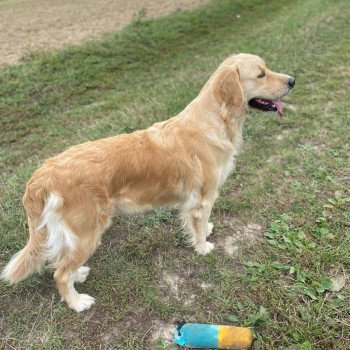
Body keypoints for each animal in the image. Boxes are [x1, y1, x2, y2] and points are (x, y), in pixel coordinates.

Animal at [1, 54, 294, 312]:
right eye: (261, 74)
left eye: (266, 68)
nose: (292, 80)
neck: (214, 120)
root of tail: (41, 175)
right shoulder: (203, 198)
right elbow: (199, 228)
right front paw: (203, 247)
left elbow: (198, 225)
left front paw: (206, 232)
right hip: (88, 231)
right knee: (60, 273)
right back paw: (77, 302)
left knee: (61, 261)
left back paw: (79, 274)